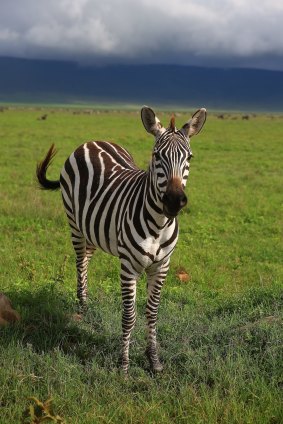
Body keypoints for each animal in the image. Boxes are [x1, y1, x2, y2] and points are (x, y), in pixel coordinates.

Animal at [36, 105, 207, 372]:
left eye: (189, 158)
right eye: (156, 156)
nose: (174, 201)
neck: (159, 224)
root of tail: (92, 141)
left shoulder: (162, 266)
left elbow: (152, 313)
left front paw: (153, 360)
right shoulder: (128, 267)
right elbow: (129, 315)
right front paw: (124, 363)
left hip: (93, 228)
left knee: (87, 257)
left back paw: (86, 303)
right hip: (74, 223)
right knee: (80, 262)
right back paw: (82, 305)